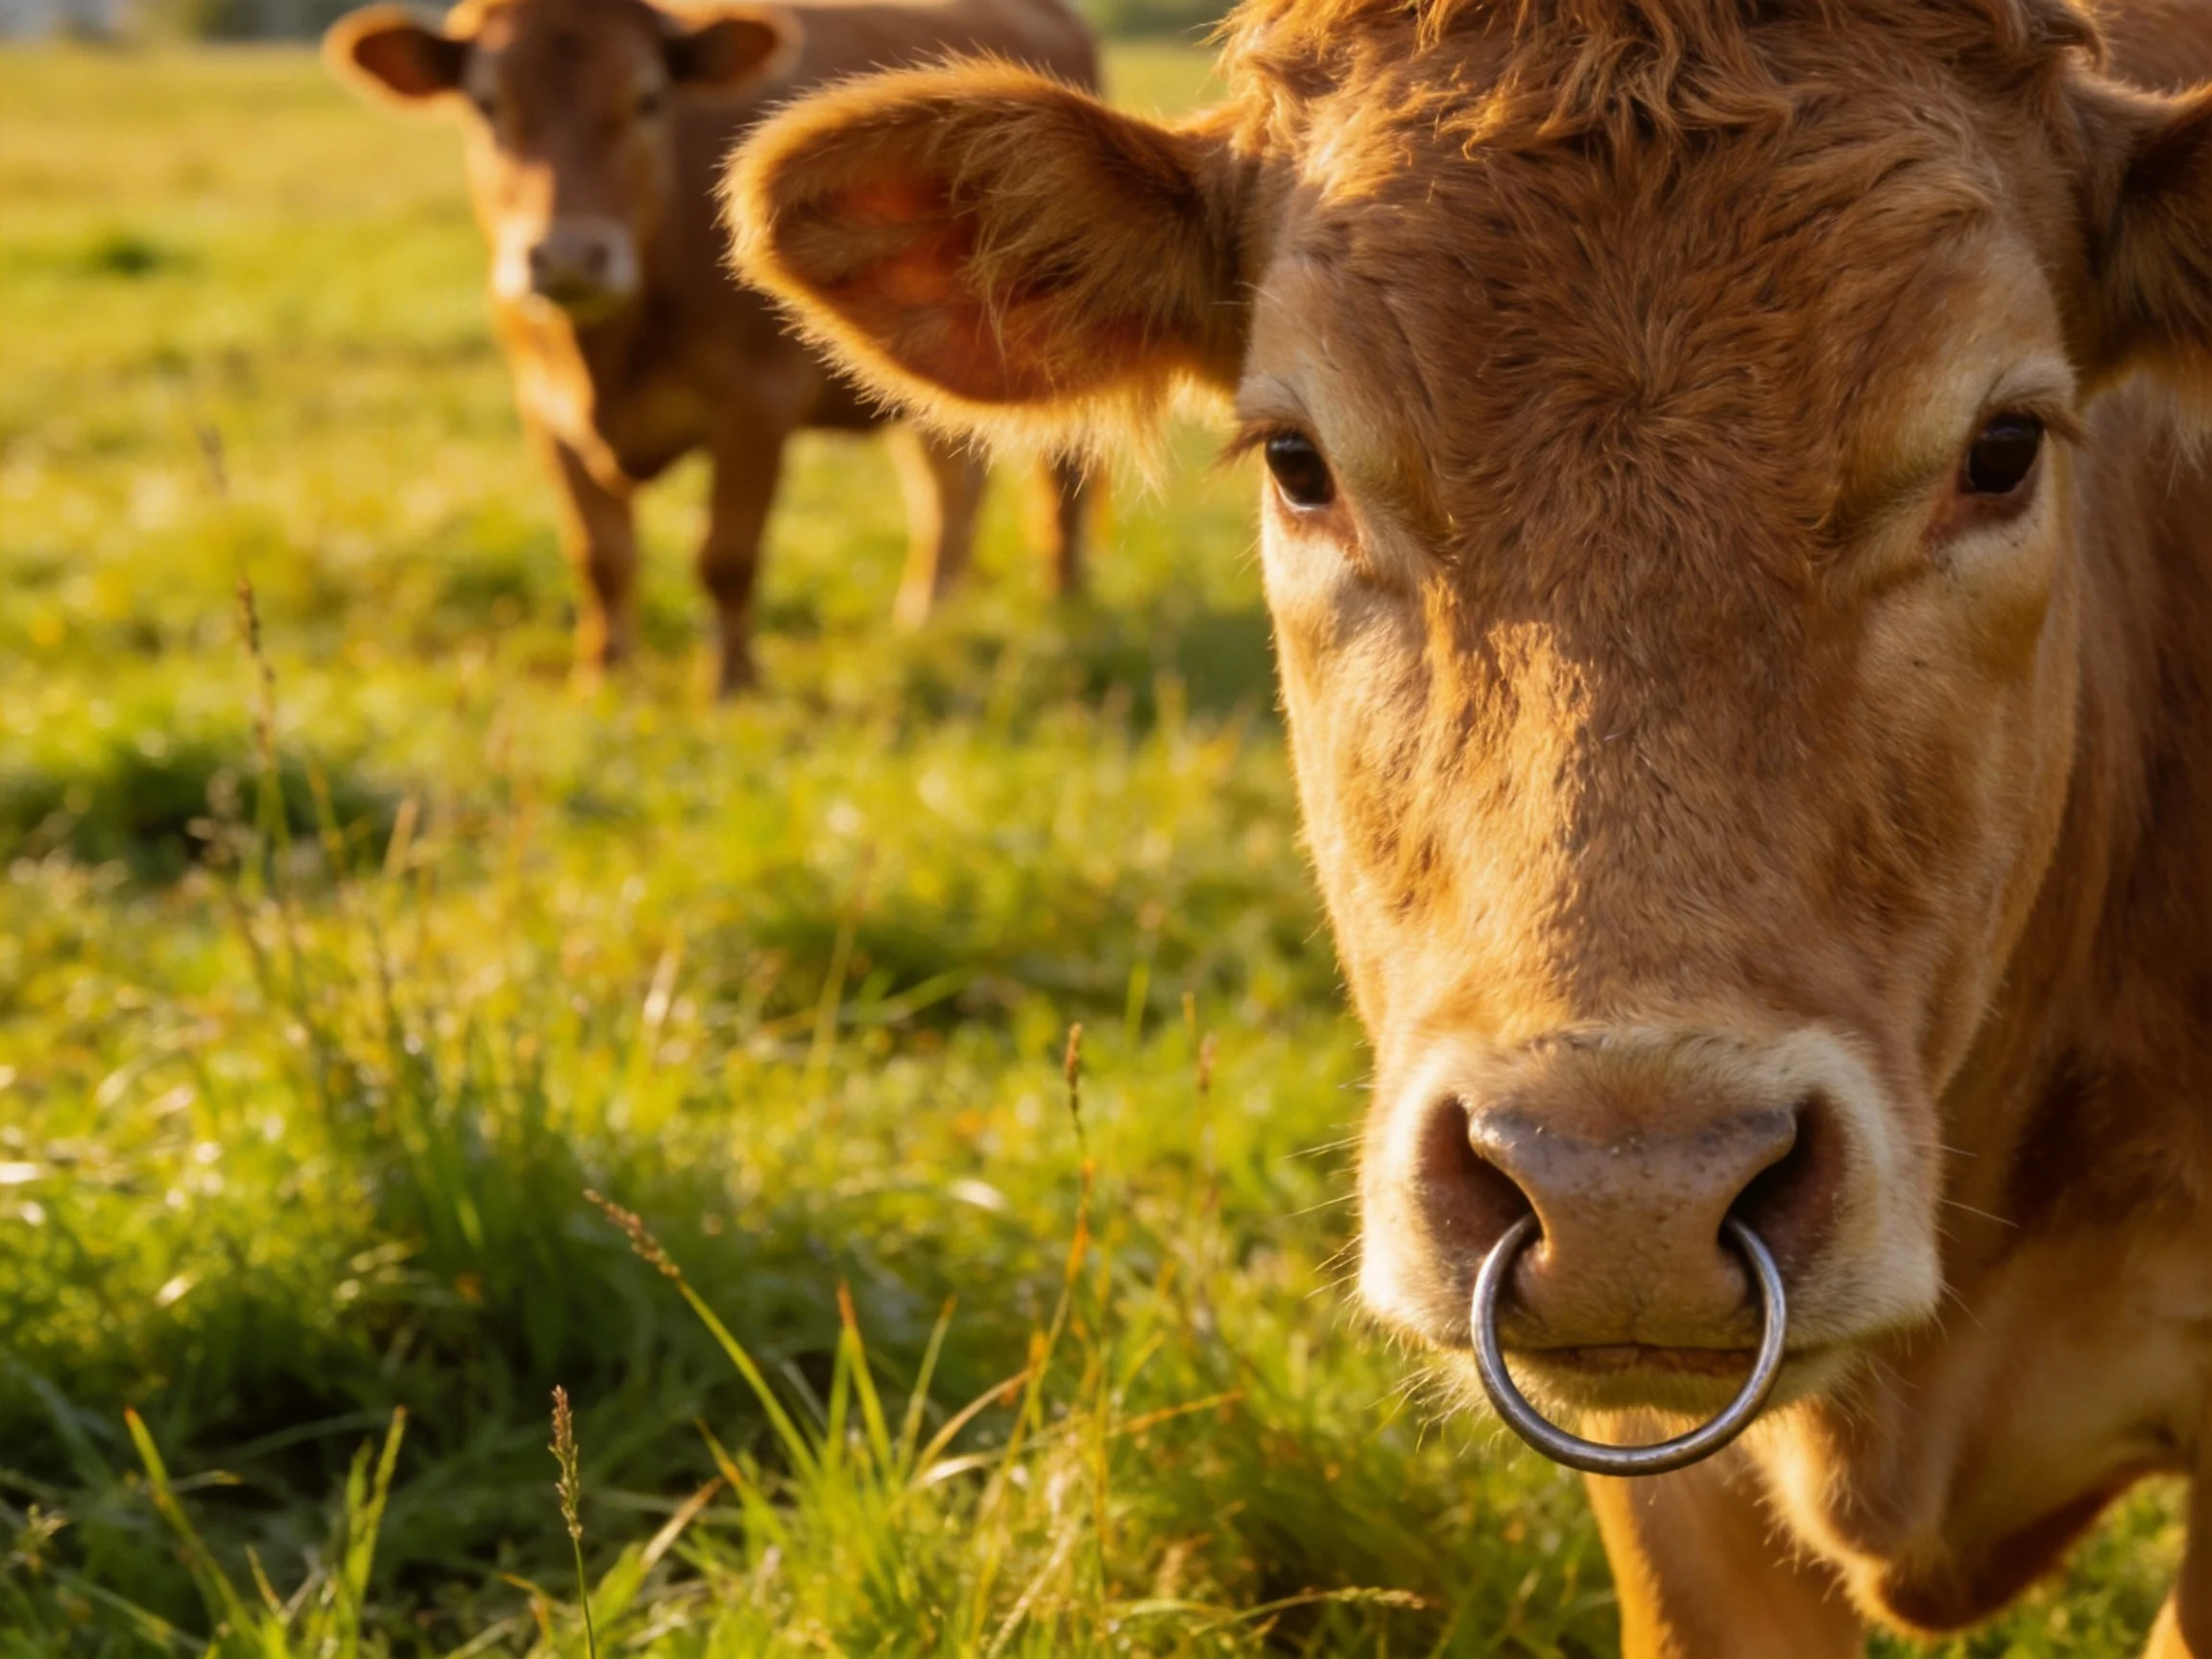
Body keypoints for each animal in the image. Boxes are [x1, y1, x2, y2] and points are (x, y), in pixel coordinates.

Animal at [322, 0, 1097, 695]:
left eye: (648, 98)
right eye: (487, 103)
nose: (569, 257)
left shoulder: (757, 404)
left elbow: (726, 553)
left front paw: (733, 684)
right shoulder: (544, 409)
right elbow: (601, 555)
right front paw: (604, 679)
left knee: (1062, 488)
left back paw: (1067, 608)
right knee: (948, 486)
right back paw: (928, 615)